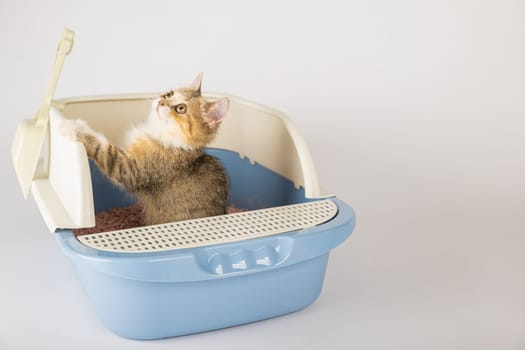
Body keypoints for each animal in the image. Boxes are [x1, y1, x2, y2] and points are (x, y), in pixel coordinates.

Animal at [61, 73, 229, 226]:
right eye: (169, 94)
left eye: (181, 108)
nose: (161, 101)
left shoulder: (131, 169)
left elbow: (103, 149)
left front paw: (76, 128)